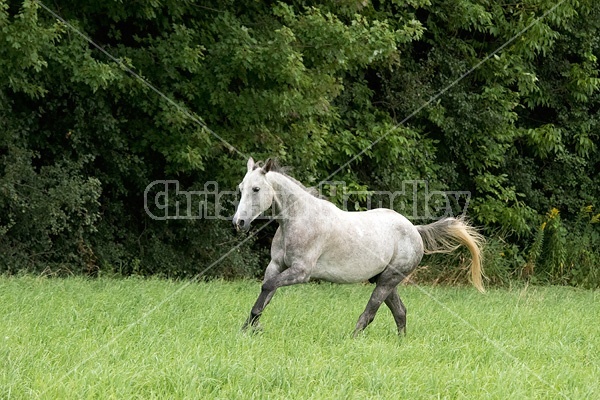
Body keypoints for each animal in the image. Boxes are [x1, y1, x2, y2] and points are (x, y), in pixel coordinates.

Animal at [232, 158, 486, 336]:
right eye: (241, 188)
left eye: (256, 189)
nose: (239, 223)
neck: (298, 219)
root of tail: (415, 229)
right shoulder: (276, 266)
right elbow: (266, 294)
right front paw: (248, 328)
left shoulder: (300, 272)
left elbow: (267, 287)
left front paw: (253, 328)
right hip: (385, 280)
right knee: (400, 312)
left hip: (388, 281)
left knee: (371, 312)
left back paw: (351, 339)